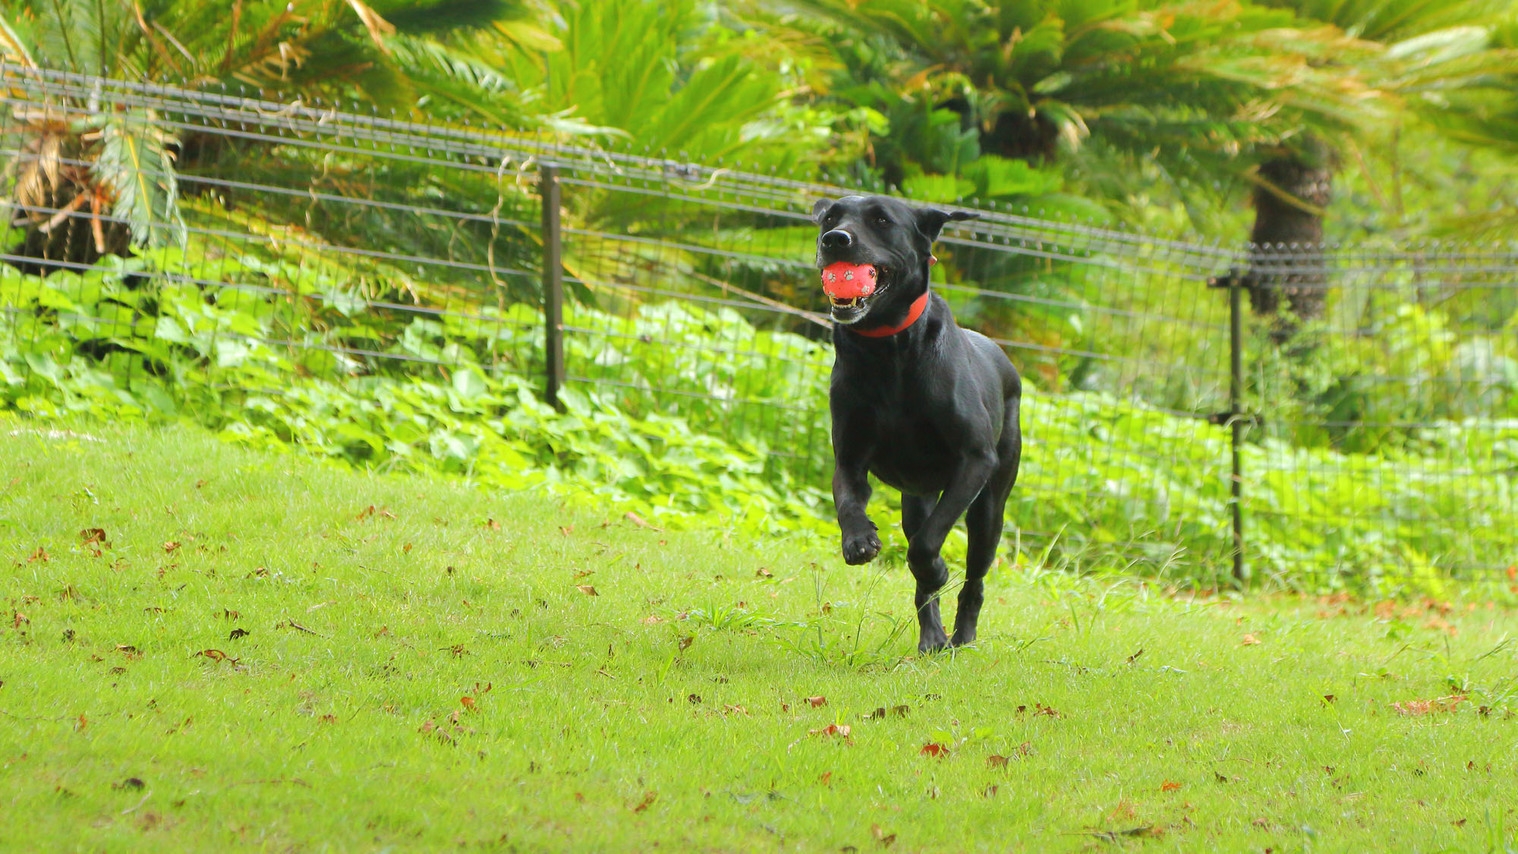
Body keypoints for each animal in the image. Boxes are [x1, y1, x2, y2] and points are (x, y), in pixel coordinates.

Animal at [819, 195, 1020, 655]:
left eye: (881, 219)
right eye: (830, 217)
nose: (834, 239)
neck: (887, 348)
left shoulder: (974, 461)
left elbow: (927, 546)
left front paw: (937, 569)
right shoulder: (850, 458)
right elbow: (847, 501)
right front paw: (858, 540)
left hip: (990, 508)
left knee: (974, 577)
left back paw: (962, 636)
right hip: (916, 500)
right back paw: (932, 636)